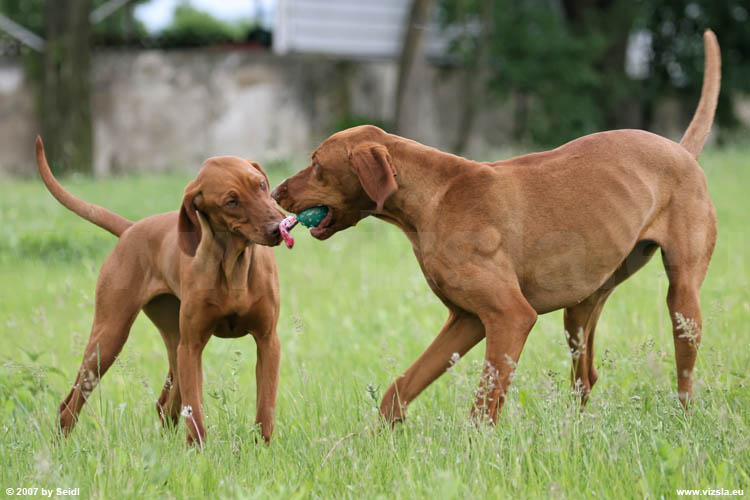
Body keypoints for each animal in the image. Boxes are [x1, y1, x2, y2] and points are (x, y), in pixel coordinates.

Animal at [36, 139, 288, 448]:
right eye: (231, 202)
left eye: (261, 185)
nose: (278, 227)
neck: (234, 266)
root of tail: (131, 228)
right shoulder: (192, 347)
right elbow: (196, 414)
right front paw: (200, 453)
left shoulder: (268, 340)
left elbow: (265, 408)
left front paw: (261, 449)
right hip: (110, 339)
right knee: (70, 404)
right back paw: (59, 445)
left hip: (172, 342)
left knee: (164, 404)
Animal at [272, 30, 724, 422]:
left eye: (316, 164)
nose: (275, 191)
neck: (434, 198)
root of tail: (681, 151)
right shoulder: (466, 319)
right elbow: (400, 387)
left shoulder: (510, 316)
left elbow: (483, 408)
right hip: (581, 307)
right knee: (586, 376)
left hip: (682, 300)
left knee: (684, 375)